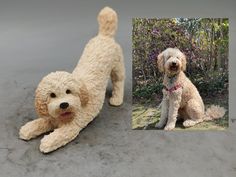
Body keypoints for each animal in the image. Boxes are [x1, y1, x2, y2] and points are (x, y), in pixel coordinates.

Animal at [19, 6, 124, 153]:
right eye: (52, 95)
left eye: (68, 91)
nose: (64, 104)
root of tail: (103, 36)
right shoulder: (51, 119)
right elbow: (40, 122)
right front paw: (28, 128)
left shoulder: (71, 127)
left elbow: (59, 135)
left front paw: (47, 142)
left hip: (117, 65)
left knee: (119, 81)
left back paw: (117, 99)